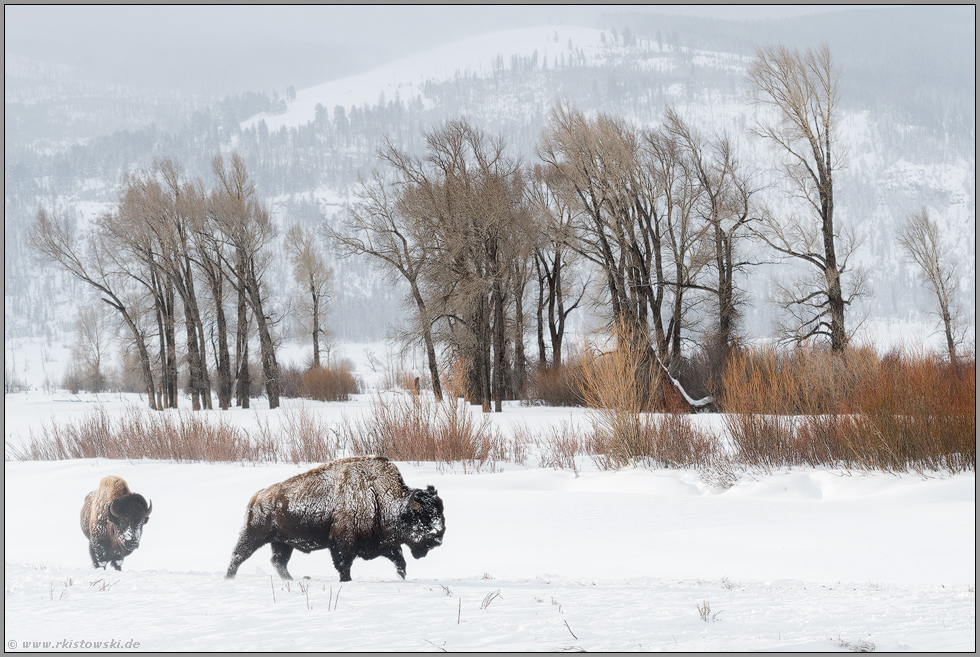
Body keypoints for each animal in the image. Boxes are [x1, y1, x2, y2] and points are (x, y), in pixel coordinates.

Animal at [226, 454, 444, 580]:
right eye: (423, 517)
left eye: (440, 513)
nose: (439, 537)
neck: (377, 496)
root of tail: (257, 496)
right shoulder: (342, 544)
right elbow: (344, 566)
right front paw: (346, 581)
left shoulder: (383, 544)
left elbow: (400, 561)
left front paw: (402, 578)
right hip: (254, 536)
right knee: (238, 555)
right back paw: (229, 578)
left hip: (282, 542)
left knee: (279, 562)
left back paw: (290, 580)